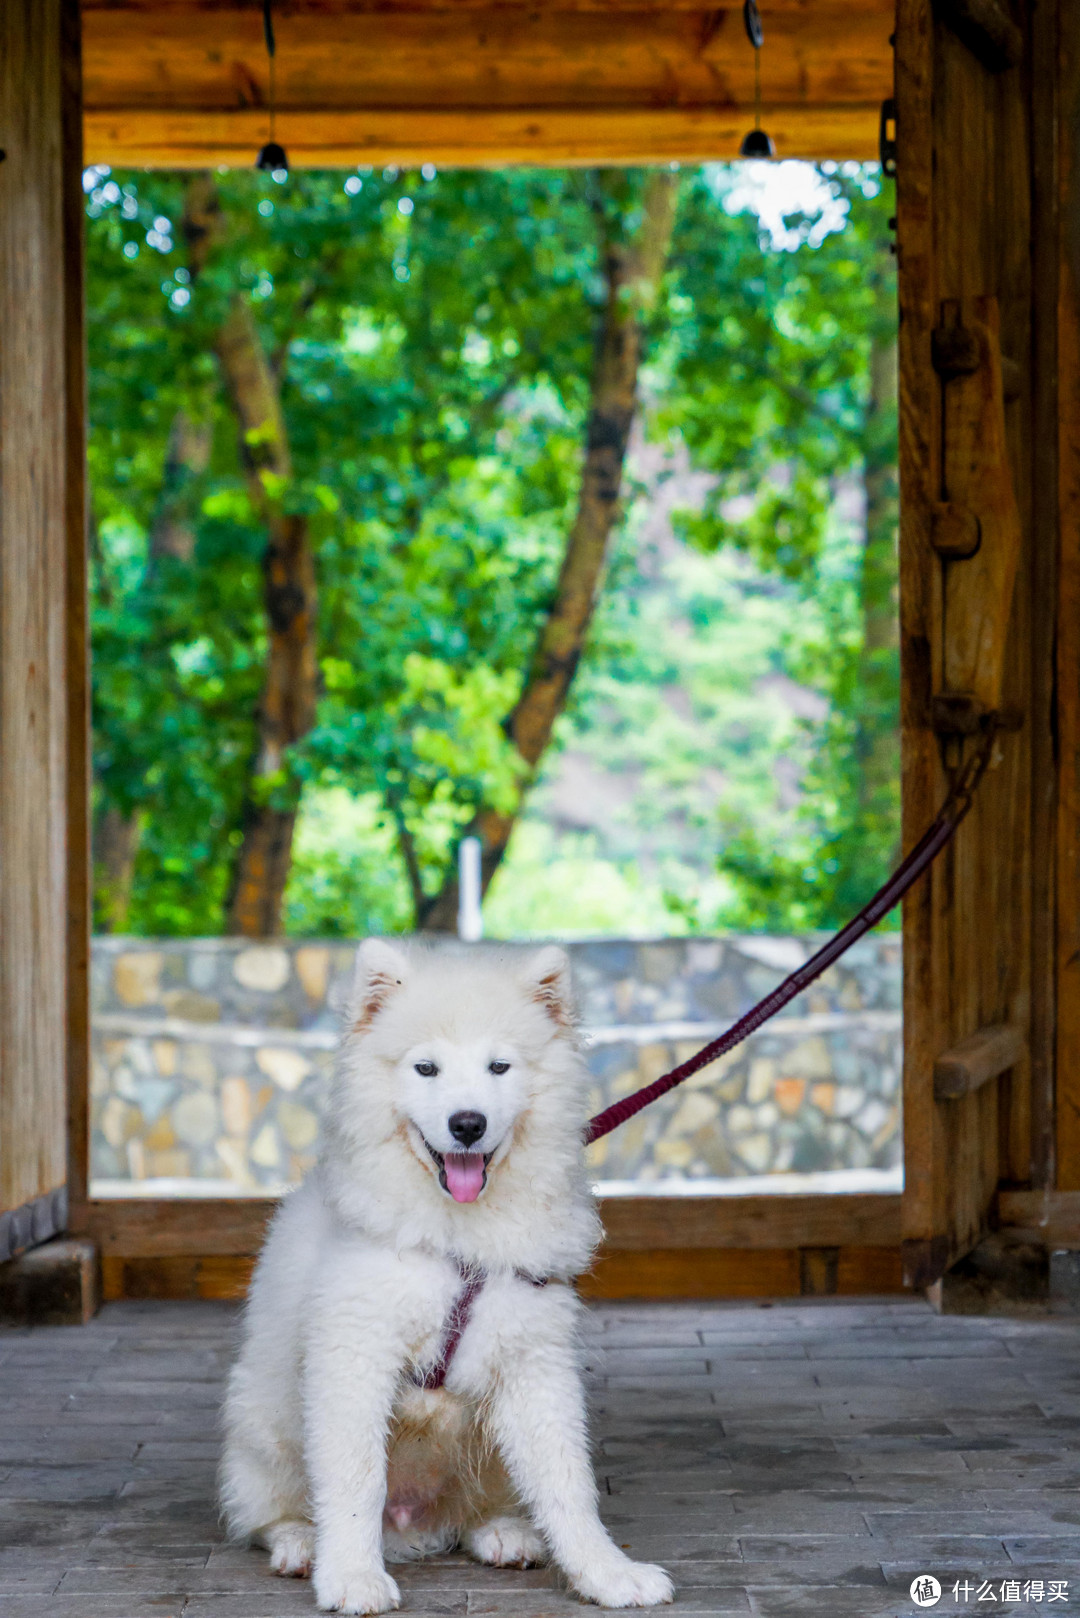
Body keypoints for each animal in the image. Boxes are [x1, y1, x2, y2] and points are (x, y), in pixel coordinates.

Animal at [220, 944, 676, 1611]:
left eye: (500, 1067)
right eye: (426, 1068)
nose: (467, 1124)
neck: (459, 1241)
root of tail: (414, 1528)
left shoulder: (534, 1363)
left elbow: (570, 1484)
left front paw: (608, 1574)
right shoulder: (355, 1356)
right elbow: (355, 1481)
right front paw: (353, 1579)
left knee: (481, 1510)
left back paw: (503, 1534)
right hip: (265, 1426)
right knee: (268, 1512)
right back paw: (300, 1545)